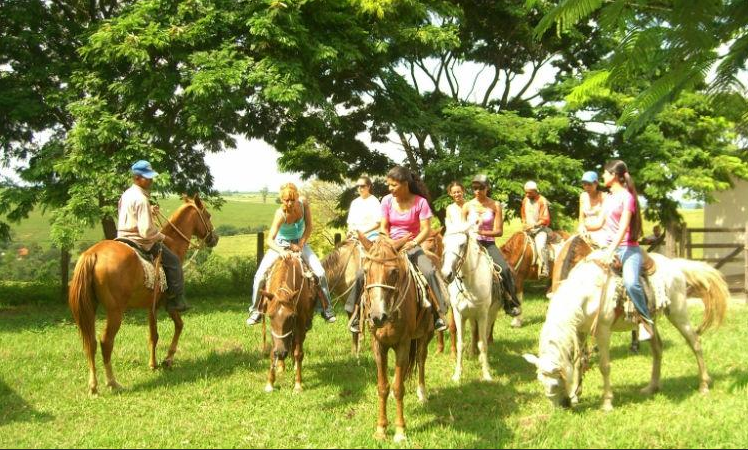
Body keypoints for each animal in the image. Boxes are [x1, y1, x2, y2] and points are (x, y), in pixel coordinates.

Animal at [66, 196, 219, 394]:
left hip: (90, 308)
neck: (172, 245)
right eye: (207, 215)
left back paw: (93, 386)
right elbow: (179, 325)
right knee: (106, 341)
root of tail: (93, 254)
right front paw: (168, 359)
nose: (214, 238)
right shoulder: (168, 303)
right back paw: (112, 382)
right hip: (115, 311)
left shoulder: (150, 306)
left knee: (90, 342)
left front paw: (153, 364)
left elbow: (153, 335)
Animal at [258, 255, 318, 392]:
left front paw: (298, 384)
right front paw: (270, 383)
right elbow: (272, 351)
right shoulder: (273, 331)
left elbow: (298, 353)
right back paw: (281, 365)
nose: (281, 353)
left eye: (291, 317)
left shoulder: (300, 322)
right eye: (270, 316)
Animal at [360, 234, 436, 444]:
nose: (377, 316)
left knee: (421, 359)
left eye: (393, 271)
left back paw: (422, 394)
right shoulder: (378, 346)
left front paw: (400, 431)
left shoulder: (403, 344)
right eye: (366, 270)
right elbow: (383, 387)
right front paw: (381, 429)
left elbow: (398, 388)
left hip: (425, 335)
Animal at [442, 223, 500, 382]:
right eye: (444, 243)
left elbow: (483, 343)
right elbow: (460, 343)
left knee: (485, 334)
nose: (446, 274)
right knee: (475, 332)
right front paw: (457, 375)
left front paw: (486, 374)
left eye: (462, 244)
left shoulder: (482, 315)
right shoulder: (459, 314)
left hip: (490, 314)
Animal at [524, 253, 728, 412]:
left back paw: (703, 385)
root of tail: (674, 266)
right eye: (541, 382)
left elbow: (604, 366)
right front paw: (576, 394)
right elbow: (578, 363)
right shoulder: (579, 331)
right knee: (658, 348)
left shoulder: (603, 331)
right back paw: (651, 387)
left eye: (556, 383)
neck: (587, 292)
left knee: (695, 343)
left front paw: (606, 403)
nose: (560, 408)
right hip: (650, 322)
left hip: (678, 313)